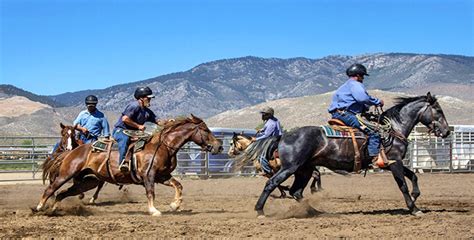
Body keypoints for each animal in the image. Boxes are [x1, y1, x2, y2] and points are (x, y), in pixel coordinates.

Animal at [37, 115, 222, 217]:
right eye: (206, 130)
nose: (219, 146)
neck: (163, 146)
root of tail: (72, 151)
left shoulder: (162, 176)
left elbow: (178, 185)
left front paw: (175, 205)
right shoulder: (149, 176)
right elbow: (150, 192)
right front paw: (154, 210)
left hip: (87, 181)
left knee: (62, 193)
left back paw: (53, 209)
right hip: (66, 174)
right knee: (50, 189)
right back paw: (39, 207)